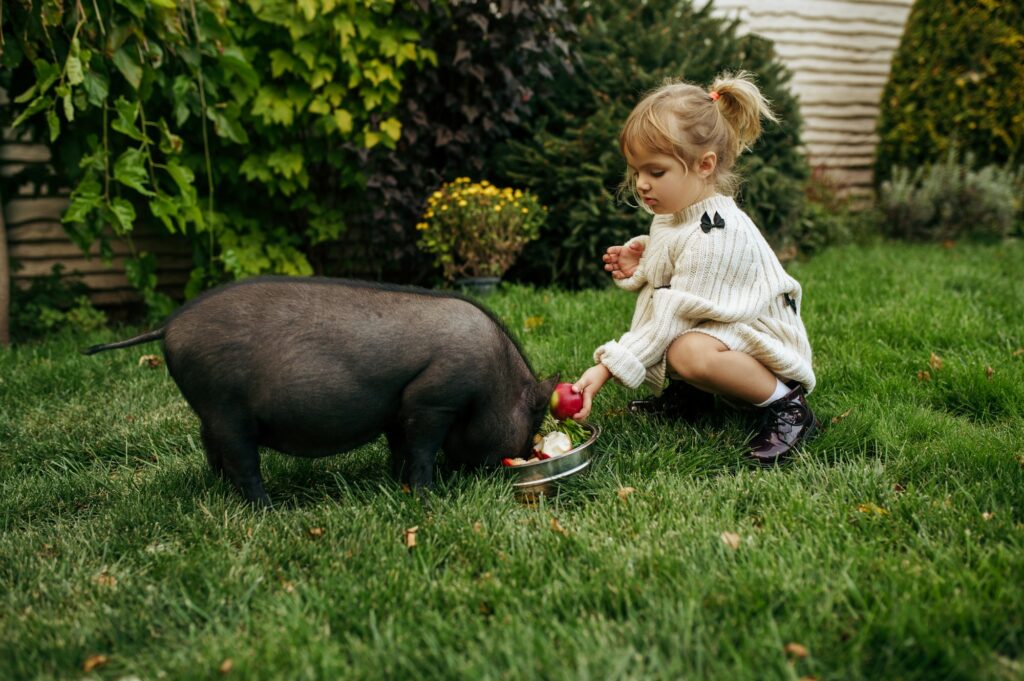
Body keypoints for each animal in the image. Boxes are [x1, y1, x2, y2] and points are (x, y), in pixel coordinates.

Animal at [83, 274, 557, 503]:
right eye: (533, 423)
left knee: (212, 451)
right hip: (227, 408)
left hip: (209, 412)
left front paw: (397, 482)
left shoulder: (399, 411)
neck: (494, 379)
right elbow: (421, 451)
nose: (517, 458)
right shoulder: (432, 400)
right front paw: (427, 496)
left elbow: (400, 448)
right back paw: (269, 510)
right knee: (243, 462)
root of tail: (169, 326)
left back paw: (219, 491)